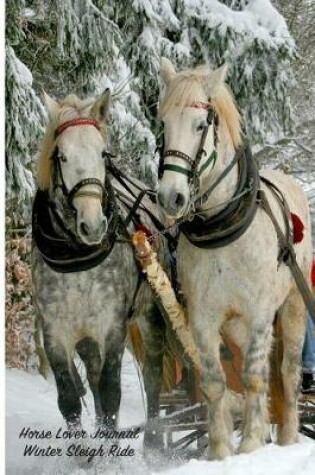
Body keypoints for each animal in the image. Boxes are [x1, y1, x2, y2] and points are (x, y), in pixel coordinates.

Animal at [31, 88, 169, 442]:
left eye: (103, 154)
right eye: (61, 156)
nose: (92, 225)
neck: (77, 259)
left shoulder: (112, 326)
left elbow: (110, 394)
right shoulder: (56, 332)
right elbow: (70, 400)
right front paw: (85, 453)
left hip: (151, 314)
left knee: (153, 373)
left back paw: (153, 443)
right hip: (86, 337)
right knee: (92, 378)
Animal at [158, 57, 314, 460]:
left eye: (201, 124)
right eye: (163, 124)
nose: (170, 197)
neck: (222, 228)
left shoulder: (259, 312)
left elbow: (255, 378)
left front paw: (253, 444)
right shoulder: (204, 318)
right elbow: (216, 383)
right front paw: (220, 451)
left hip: (292, 306)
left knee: (287, 372)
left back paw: (287, 436)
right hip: (237, 328)